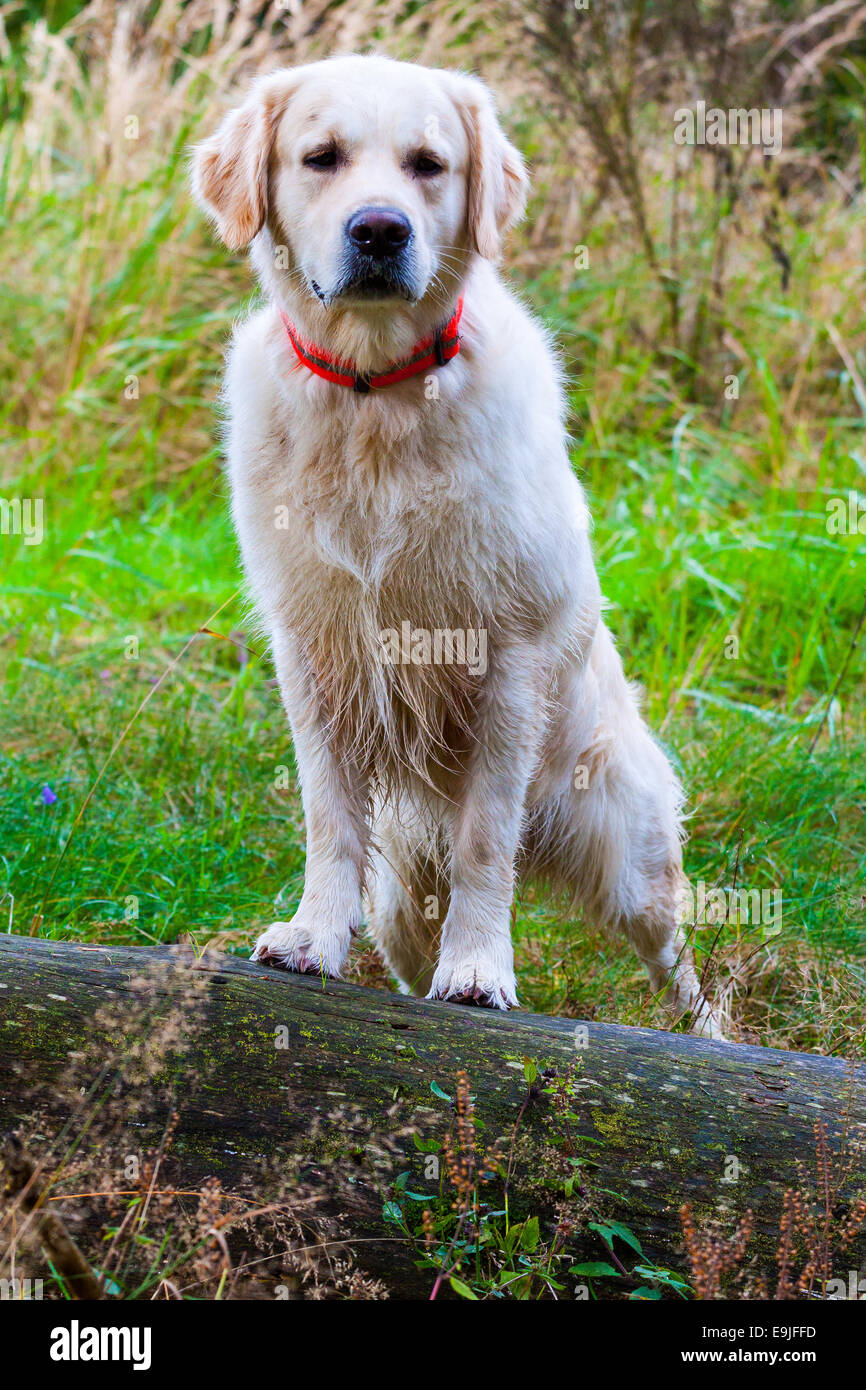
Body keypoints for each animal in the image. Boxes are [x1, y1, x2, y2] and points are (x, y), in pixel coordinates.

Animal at [191, 51, 722, 1034]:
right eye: (321, 157)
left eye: (428, 165)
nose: (379, 230)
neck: (374, 392)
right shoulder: (314, 651)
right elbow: (328, 820)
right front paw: (311, 937)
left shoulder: (508, 657)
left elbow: (485, 840)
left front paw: (478, 970)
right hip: (403, 895)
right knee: (404, 944)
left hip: (630, 859)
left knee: (684, 971)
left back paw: (708, 1040)